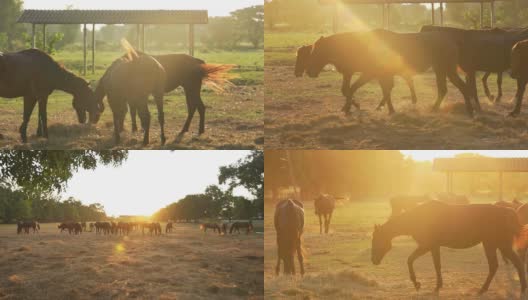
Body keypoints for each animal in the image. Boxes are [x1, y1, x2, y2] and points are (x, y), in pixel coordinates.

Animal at [95, 49, 235, 138]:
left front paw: (135, 129)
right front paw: (137, 128)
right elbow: (133, 112)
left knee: (196, 107)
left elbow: (132, 112)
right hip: (190, 89)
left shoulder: (132, 97)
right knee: (196, 107)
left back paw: (193, 130)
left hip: (191, 88)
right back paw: (192, 130)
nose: (94, 121)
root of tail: (198, 61)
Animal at [306, 29, 470, 115]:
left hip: (447, 69)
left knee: (460, 87)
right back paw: (435, 108)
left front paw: (349, 108)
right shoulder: (376, 75)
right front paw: (388, 109)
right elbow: (384, 90)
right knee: (443, 89)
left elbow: (352, 89)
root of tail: (452, 41)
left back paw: (469, 111)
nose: (309, 72)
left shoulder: (369, 73)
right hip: (440, 70)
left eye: (316, 52)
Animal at [372, 202, 528, 296]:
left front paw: (417, 284)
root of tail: (508, 212)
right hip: (497, 245)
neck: (418, 218)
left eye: (376, 240)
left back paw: (485, 290)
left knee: (502, 265)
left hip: (494, 244)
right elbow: (437, 265)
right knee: (509, 264)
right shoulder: (434, 246)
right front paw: (437, 286)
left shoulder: (426, 245)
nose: (374, 260)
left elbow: (410, 260)